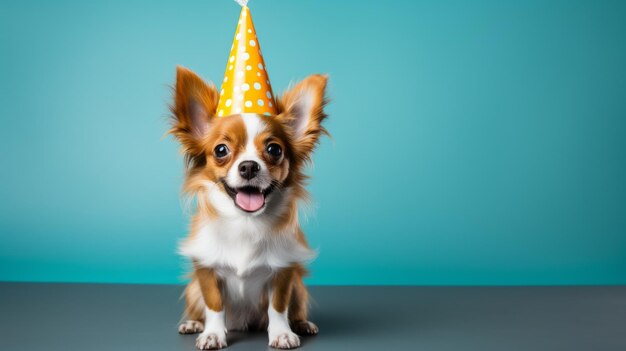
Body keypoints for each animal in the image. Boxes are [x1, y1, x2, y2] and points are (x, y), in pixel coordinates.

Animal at [168, 66, 330, 350]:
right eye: (221, 150)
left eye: (274, 149)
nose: (249, 166)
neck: (245, 221)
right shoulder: (206, 270)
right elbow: (214, 304)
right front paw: (213, 334)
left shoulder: (284, 271)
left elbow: (278, 307)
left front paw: (282, 334)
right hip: (192, 289)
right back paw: (194, 323)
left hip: (299, 287)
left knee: (295, 309)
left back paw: (302, 324)